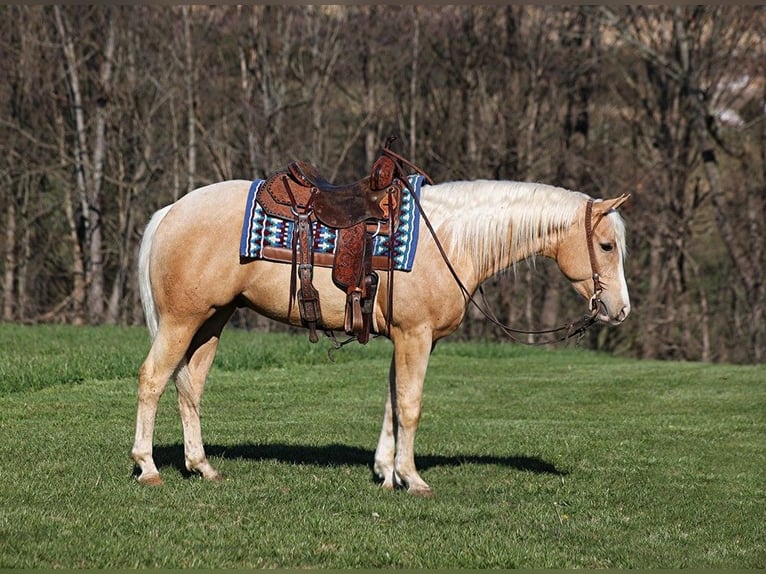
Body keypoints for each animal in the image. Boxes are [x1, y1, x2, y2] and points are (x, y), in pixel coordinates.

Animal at [132, 178, 632, 498]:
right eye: (606, 246)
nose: (620, 309)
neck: (449, 240)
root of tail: (170, 212)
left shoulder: (410, 339)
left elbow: (393, 401)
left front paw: (386, 473)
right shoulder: (416, 336)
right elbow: (410, 405)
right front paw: (412, 479)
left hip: (211, 321)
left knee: (190, 386)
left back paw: (202, 466)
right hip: (182, 320)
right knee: (152, 379)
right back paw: (148, 468)